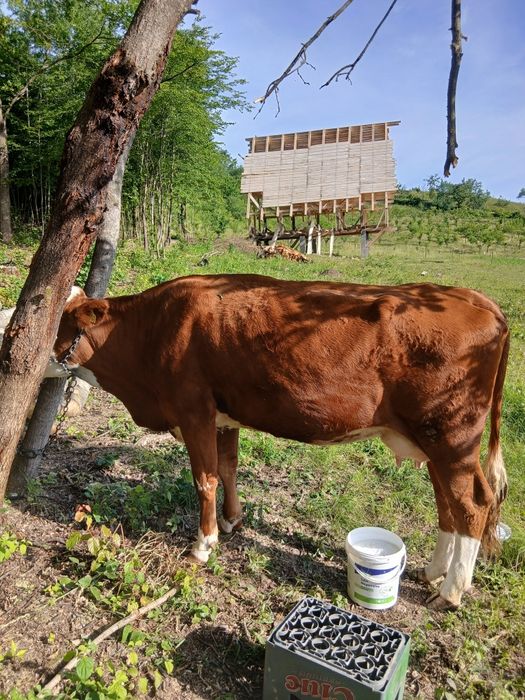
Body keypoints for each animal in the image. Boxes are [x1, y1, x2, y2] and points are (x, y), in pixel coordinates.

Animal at [48, 274, 509, 610]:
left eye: (60, 323)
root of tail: (469, 296)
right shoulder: (223, 415)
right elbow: (228, 467)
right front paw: (232, 521)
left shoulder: (193, 410)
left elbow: (204, 479)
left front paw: (203, 546)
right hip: (436, 442)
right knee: (449, 502)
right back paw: (432, 572)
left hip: (451, 436)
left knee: (473, 504)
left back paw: (450, 592)